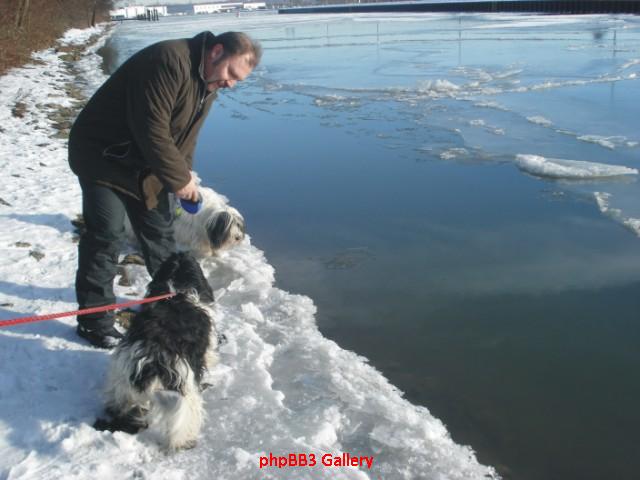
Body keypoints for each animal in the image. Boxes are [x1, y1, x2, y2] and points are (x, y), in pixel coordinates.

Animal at [95, 251, 219, 450]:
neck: (176, 287)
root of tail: (152, 357)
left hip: (121, 377)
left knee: (120, 402)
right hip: (183, 387)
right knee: (184, 417)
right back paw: (184, 441)